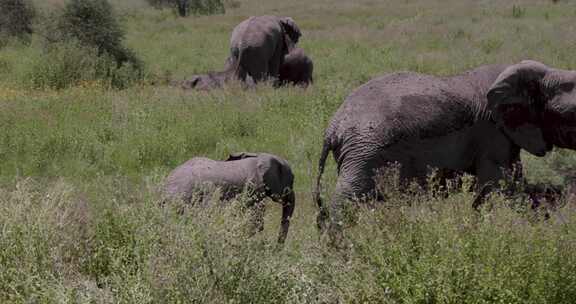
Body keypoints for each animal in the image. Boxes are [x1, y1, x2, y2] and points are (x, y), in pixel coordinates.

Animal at [316, 60, 576, 246]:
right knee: (346, 198)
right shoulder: (493, 132)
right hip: (364, 151)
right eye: (572, 115)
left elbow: (514, 184)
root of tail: (332, 128)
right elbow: (502, 186)